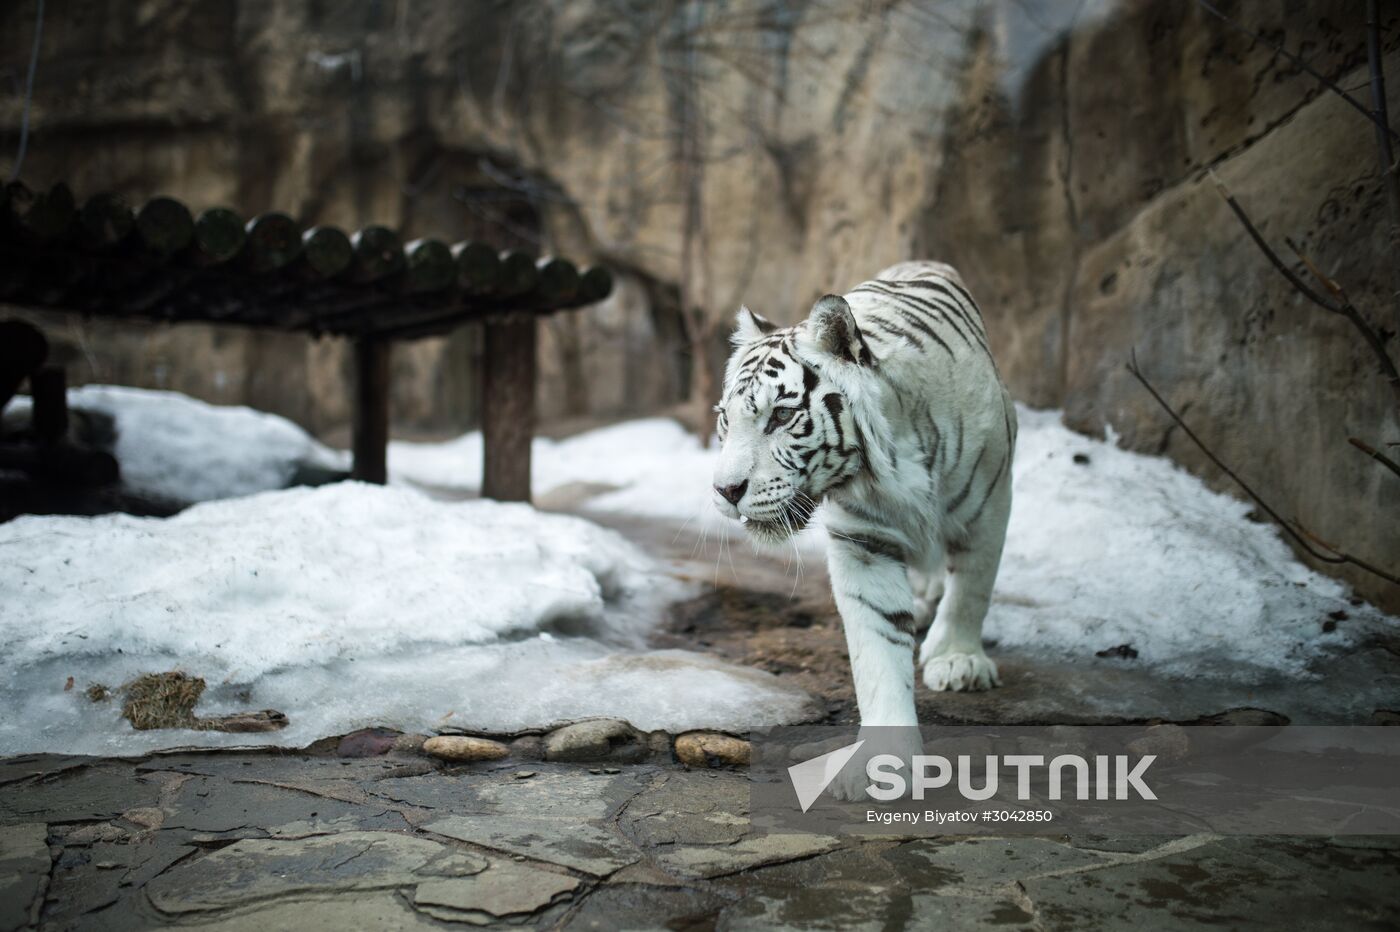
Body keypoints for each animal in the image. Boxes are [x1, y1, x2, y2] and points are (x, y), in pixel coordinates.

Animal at [716, 258, 1013, 789]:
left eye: (782, 416)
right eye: (725, 420)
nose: (726, 491)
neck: (888, 464)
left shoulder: (988, 503)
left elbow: (972, 589)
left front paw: (957, 660)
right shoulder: (864, 541)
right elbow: (878, 646)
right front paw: (884, 762)